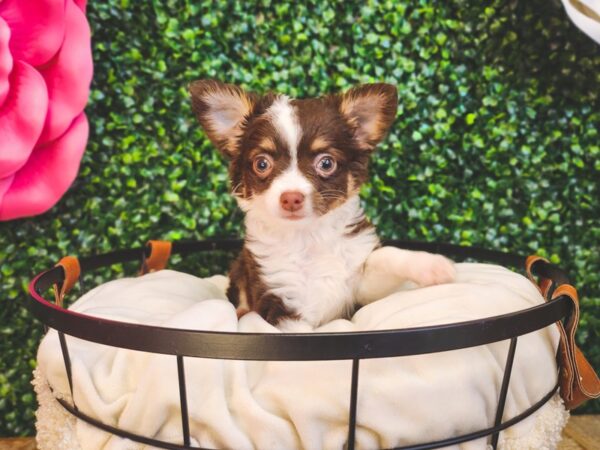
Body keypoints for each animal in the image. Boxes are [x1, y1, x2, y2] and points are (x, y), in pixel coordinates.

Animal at [190, 79, 452, 328]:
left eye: (326, 163)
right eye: (261, 164)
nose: (291, 197)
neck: (308, 237)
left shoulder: (360, 290)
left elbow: (385, 256)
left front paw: (432, 265)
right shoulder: (280, 304)